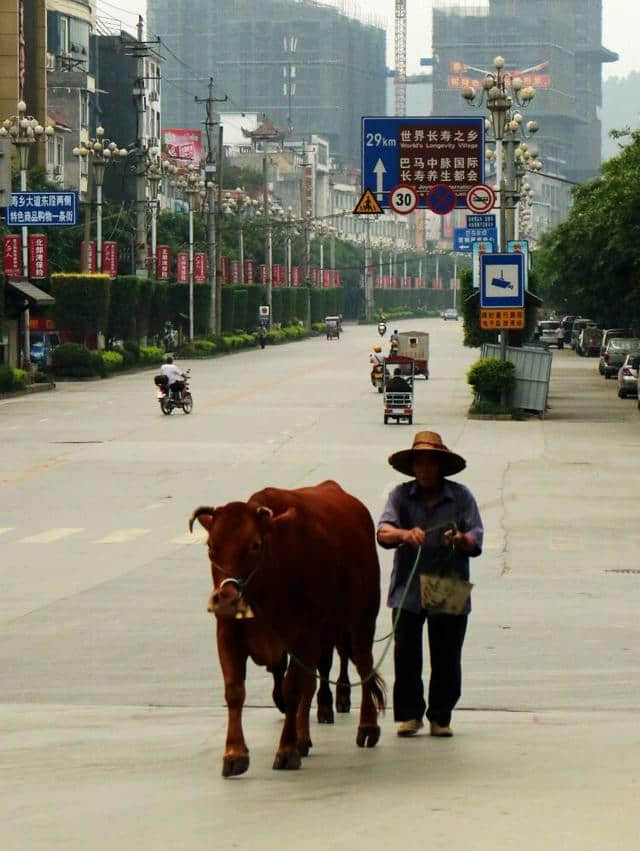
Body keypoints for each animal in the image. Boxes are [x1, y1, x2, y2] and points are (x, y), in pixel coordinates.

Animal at [188, 482, 382, 776]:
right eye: (211, 546)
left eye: (254, 545)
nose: (226, 599)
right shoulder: (228, 634)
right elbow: (235, 691)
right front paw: (234, 753)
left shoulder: (304, 638)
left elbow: (292, 691)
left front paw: (287, 750)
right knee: (313, 683)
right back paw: (304, 737)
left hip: (361, 621)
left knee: (363, 665)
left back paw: (367, 725)